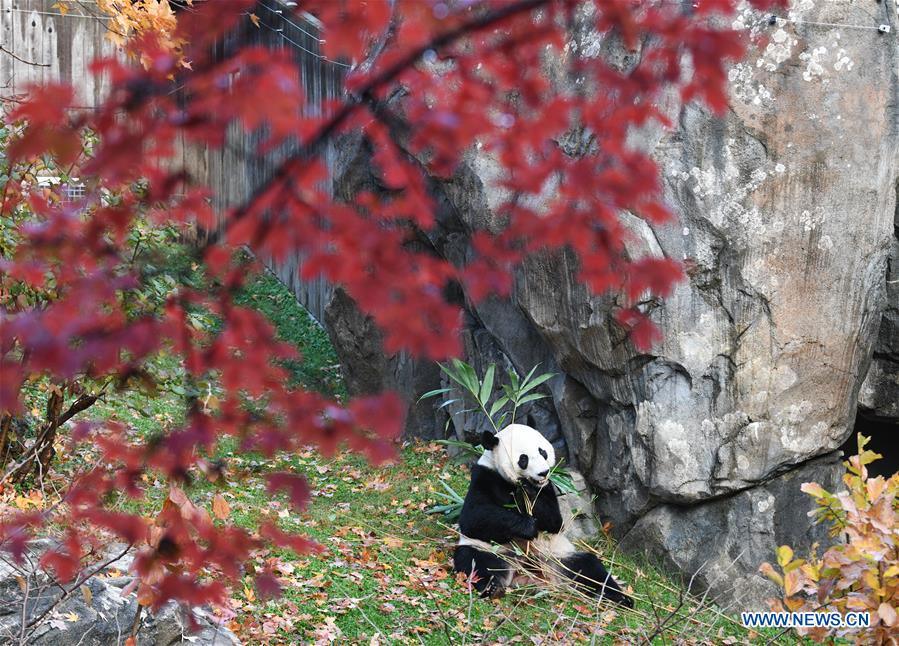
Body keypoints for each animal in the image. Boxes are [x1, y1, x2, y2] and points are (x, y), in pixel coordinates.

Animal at [452, 424, 633, 607]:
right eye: (523, 459)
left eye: (542, 452)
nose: (543, 472)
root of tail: (527, 576)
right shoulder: (485, 476)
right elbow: (473, 518)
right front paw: (528, 525)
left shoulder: (547, 487)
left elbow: (555, 521)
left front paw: (529, 493)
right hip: (494, 551)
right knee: (475, 561)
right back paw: (493, 588)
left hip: (557, 557)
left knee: (589, 568)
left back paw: (618, 597)